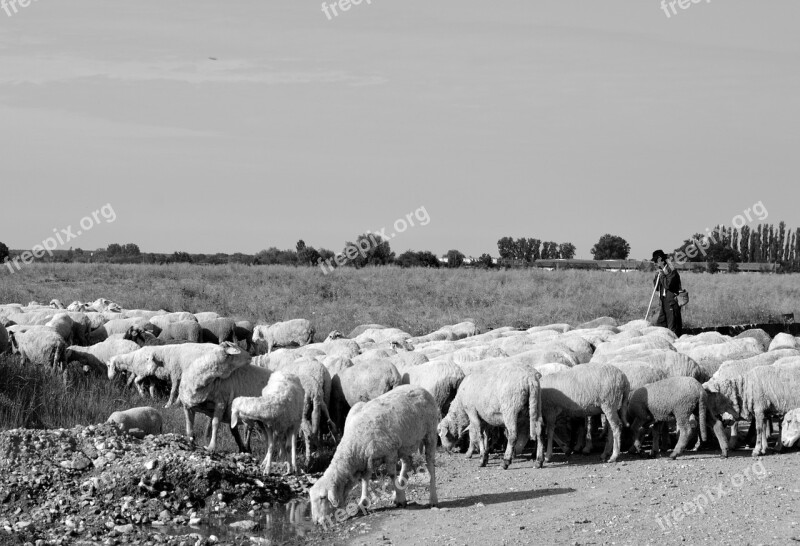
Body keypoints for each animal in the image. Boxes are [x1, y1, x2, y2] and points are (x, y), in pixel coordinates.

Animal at [310, 382, 440, 524]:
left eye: (322, 497)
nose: (316, 522)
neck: (354, 444)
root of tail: (420, 388)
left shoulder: (390, 453)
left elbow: (391, 475)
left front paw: (400, 499)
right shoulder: (366, 460)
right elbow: (365, 479)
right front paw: (363, 502)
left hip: (430, 433)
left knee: (430, 464)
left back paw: (433, 498)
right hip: (405, 443)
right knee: (407, 463)